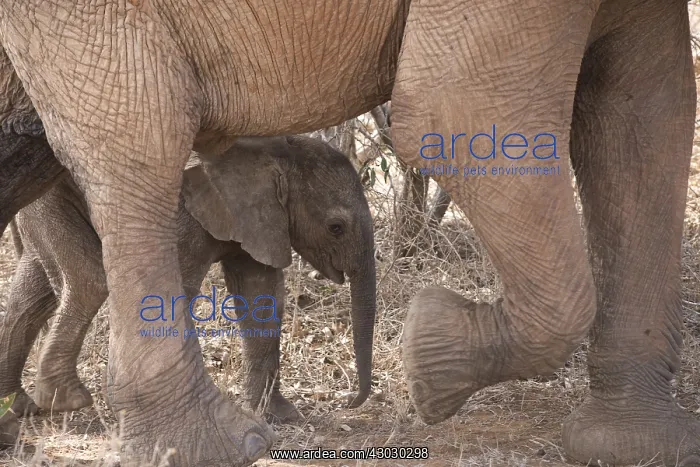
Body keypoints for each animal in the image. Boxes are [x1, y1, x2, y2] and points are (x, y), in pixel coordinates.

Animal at [0, 134, 376, 442]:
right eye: (336, 227)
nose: (349, 402)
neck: (275, 150)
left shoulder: (259, 221)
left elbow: (261, 294)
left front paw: (278, 417)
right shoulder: (184, 214)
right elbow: (176, 290)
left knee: (33, 295)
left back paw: (18, 407)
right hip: (52, 199)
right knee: (87, 280)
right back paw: (66, 400)